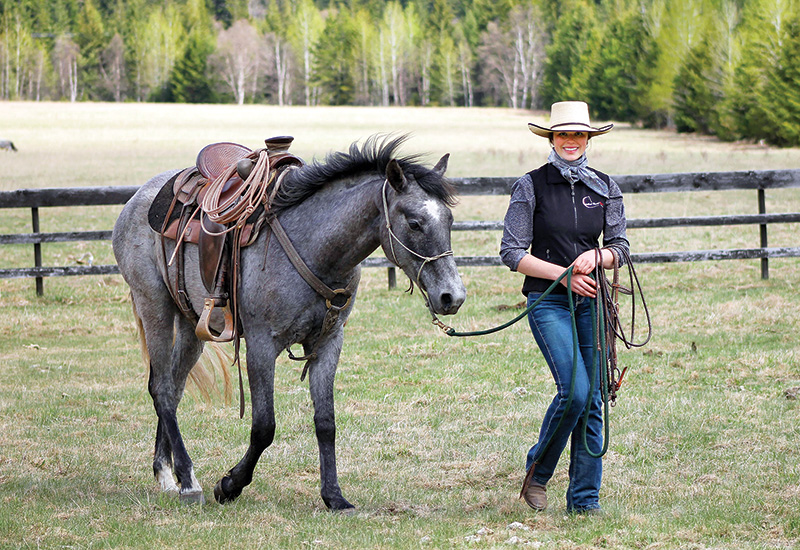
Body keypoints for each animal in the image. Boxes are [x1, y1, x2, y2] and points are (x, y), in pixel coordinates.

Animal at [112, 135, 466, 510]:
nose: (452, 297)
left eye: (449, 220)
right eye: (414, 223)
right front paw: (230, 485)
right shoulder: (261, 346)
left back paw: (167, 474)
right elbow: (264, 426)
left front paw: (334, 496)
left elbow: (326, 421)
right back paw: (188, 481)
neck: (314, 247)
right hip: (155, 306)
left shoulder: (328, 343)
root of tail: (139, 198)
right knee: (162, 389)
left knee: (175, 386)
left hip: (192, 323)